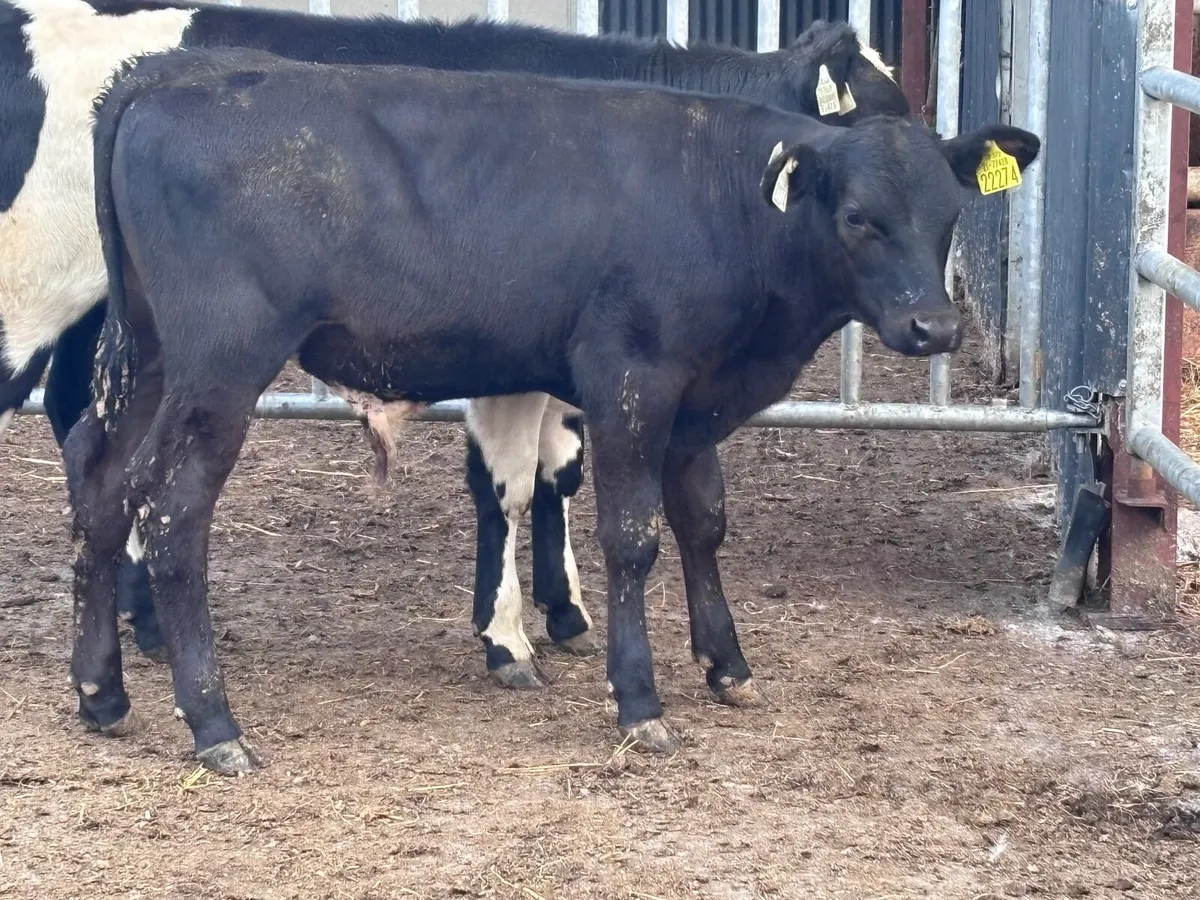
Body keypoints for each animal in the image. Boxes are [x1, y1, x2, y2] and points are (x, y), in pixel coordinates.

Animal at [0, 0, 909, 687]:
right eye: (878, 122)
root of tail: (143, 81)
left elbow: (558, 469)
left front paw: (562, 608)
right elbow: (505, 482)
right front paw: (508, 635)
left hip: (128, 336)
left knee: (92, 446)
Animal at [65, 46, 1039, 773]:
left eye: (950, 213)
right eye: (858, 216)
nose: (933, 326)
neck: (722, 198)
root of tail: (168, 76)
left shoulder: (695, 397)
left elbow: (704, 521)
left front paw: (726, 665)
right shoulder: (631, 378)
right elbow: (632, 536)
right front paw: (639, 700)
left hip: (152, 358)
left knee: (100, 480)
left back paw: (100, 692)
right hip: (221, 366)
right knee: (171, 511)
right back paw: (214, 725)